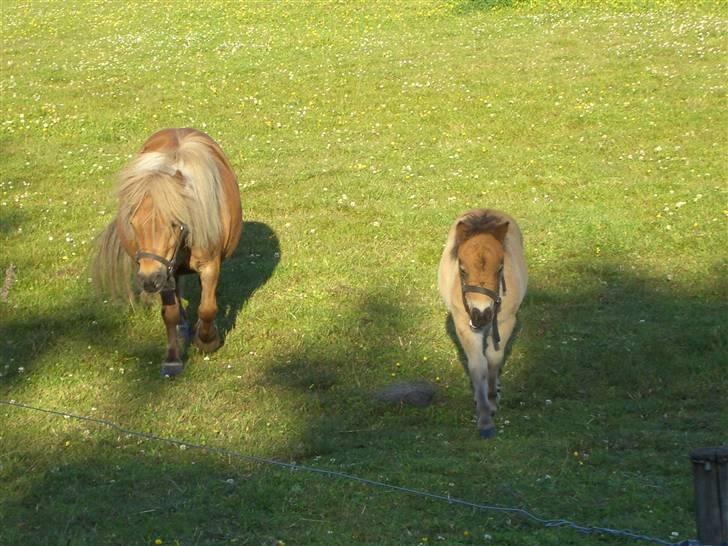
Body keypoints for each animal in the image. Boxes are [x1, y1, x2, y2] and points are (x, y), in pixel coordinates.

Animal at [92, 127, 242, 374]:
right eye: (133, 223)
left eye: (174, 223)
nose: (148, 280)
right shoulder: (163, 271)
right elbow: (169, 314)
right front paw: (173, 358)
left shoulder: (209, 265)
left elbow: (207, 308)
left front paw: (207, 341)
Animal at [436, 209, 528, 438]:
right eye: (462, 269)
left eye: (500, 267)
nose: (481, 314)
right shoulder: (464, 325)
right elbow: (478, 365)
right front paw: (484, 418)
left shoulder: (505, 321)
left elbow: (494, 359)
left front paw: (493, 399)